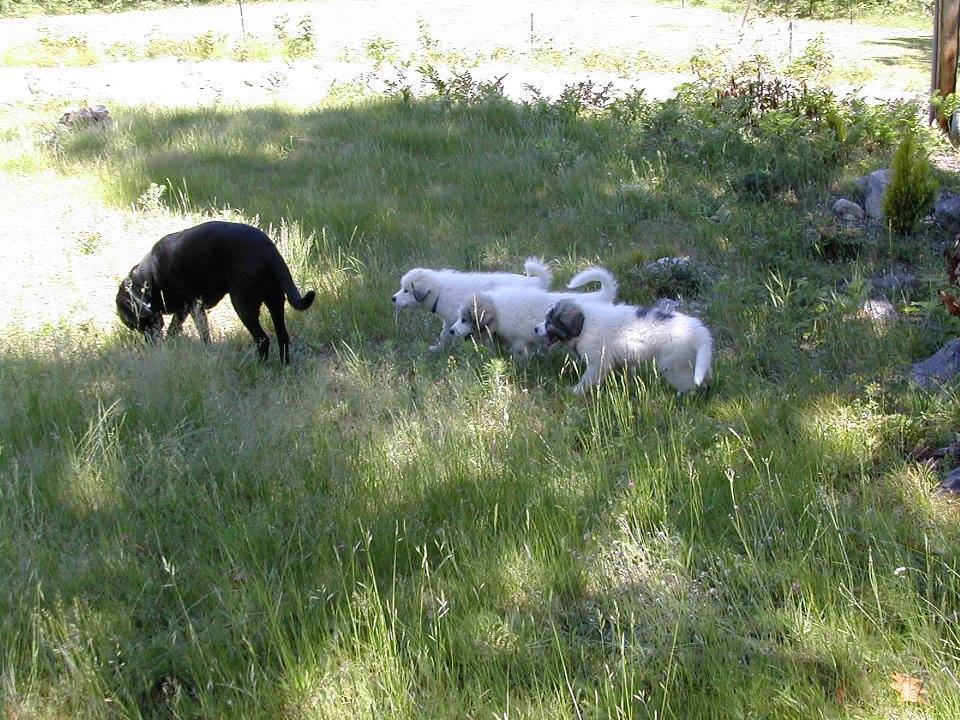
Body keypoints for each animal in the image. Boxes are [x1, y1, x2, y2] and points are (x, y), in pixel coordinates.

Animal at [117, 221, 316, 366]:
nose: (150, 345)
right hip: (275, 300)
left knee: (263, 339)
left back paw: (259, 367)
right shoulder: (182, 311)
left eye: (139, 324)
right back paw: (284, 366)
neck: (148, 278)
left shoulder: (195, 307)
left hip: (243, 305)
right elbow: (174, 330)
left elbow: (204, 335)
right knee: (282, 336)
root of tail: (268, 249)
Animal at [392, 258, 556, 352]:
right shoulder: (451, 321)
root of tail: (535, 282)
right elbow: (446, 335)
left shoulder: (456, 319)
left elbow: (447, 334)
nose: (393, 298)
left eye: (406, 290)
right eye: (402, 289)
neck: (440, 291)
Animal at [532, 296, 712, 394]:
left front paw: (575, 391)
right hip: (694, 361)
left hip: (673, 365)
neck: (584, 325)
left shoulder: (598, 363)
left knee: (688, 384)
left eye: (549, 322)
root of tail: (699, 332)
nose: (535, 329)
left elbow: (587, 380)